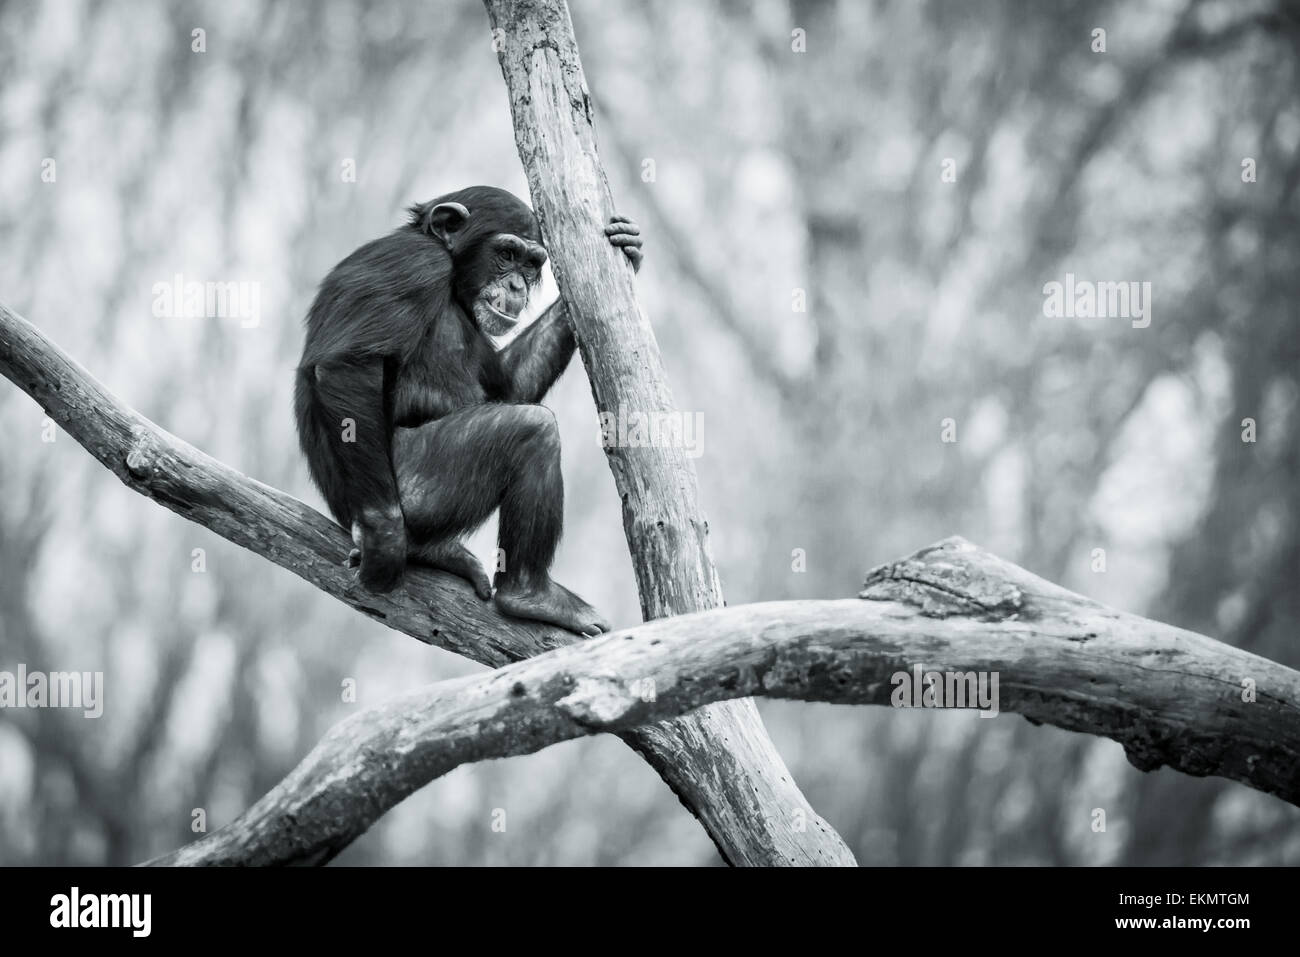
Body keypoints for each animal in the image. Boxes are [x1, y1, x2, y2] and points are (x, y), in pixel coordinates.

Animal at [292, 185, 642, 634]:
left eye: (532, 263)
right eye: (507, 254)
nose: (517, 285)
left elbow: (508, 384)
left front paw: (626, 247)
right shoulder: (414, 265)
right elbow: (347, 365)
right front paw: (384, 540)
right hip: (417, 489)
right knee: (532, 431)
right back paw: (528, 595)